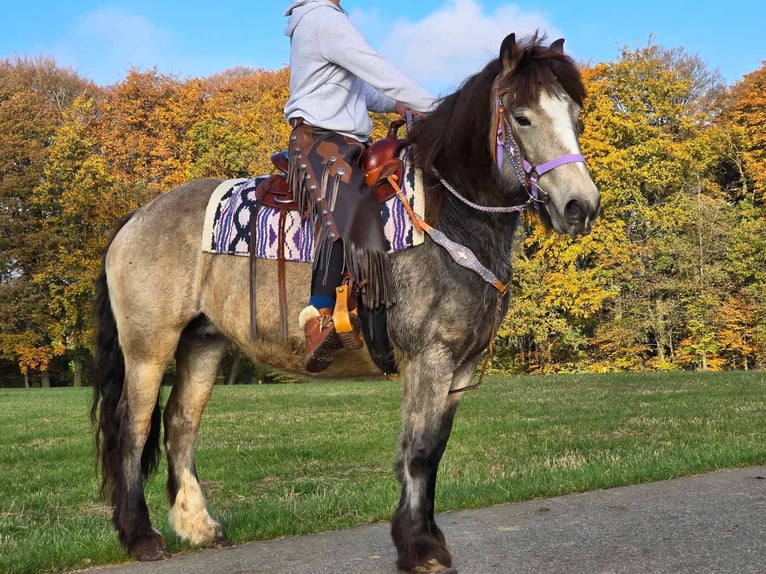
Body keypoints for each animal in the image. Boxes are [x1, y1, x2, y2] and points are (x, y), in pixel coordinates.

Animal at [91, 32, 600, 574]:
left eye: (575, 114)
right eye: (522, 117)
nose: (581, 207)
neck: (449, 216)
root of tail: (135, 218)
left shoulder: (458, 367)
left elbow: (433, 451)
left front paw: (426, 539)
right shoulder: (428, 358)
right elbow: (419, 450)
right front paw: (420, 547)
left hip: (202, 343)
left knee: (181, 424)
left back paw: (199, 526)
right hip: (149, 348)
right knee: (132, 427)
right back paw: (140, 535)